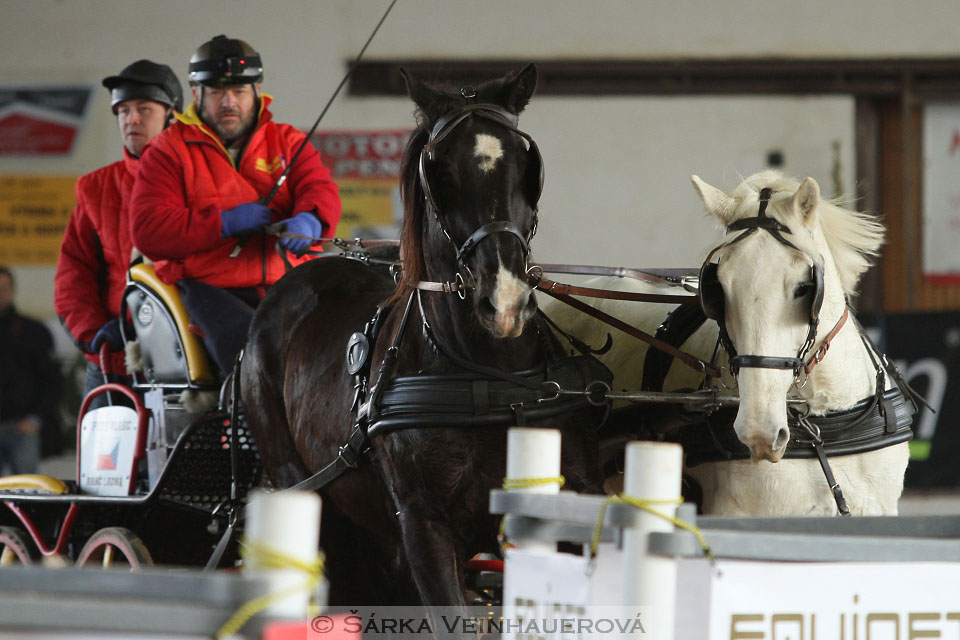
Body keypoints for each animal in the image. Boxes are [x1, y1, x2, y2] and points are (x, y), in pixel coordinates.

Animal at [244, 63, 612, 608]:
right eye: (438, 172)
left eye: (526, 163)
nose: (505, 300)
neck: (492, 379)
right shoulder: (423, 526)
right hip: (310, 497)